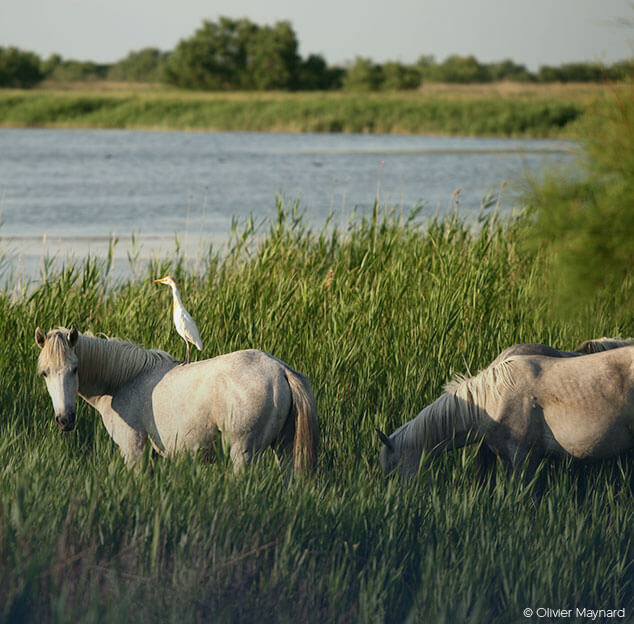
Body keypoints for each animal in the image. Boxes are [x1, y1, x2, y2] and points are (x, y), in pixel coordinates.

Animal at [35, 326, 316, 472]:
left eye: (74, 369)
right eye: (45, 373)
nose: (65, 420)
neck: (122, 383)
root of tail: (280, 370)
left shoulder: (133, 452)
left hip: (242, 453)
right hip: (284, 450)